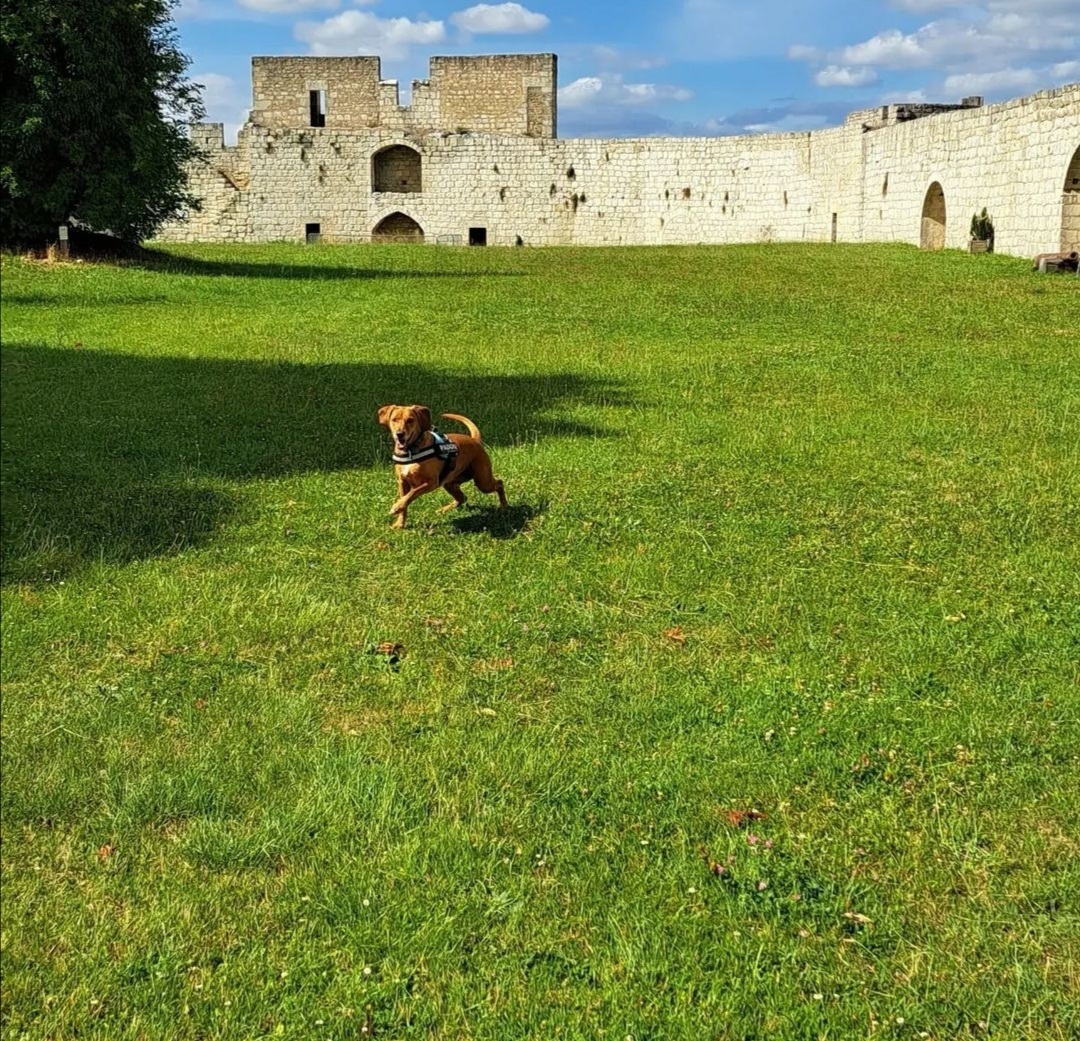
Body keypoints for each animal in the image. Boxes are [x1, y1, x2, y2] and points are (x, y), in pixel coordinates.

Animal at [378, 403, 507, 529]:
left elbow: (412, 494)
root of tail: (474, 440)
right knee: (462, 497)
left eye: (410, 420)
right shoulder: (402, 482)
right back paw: (444, 509)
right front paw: (400, 523)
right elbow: (406, 501)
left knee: (499, 483)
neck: (411, 452)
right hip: (449, 484)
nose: (399, 434)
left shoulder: (431, 482)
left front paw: (397, 506)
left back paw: (504, 506)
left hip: (483, 482)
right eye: (394, 420)